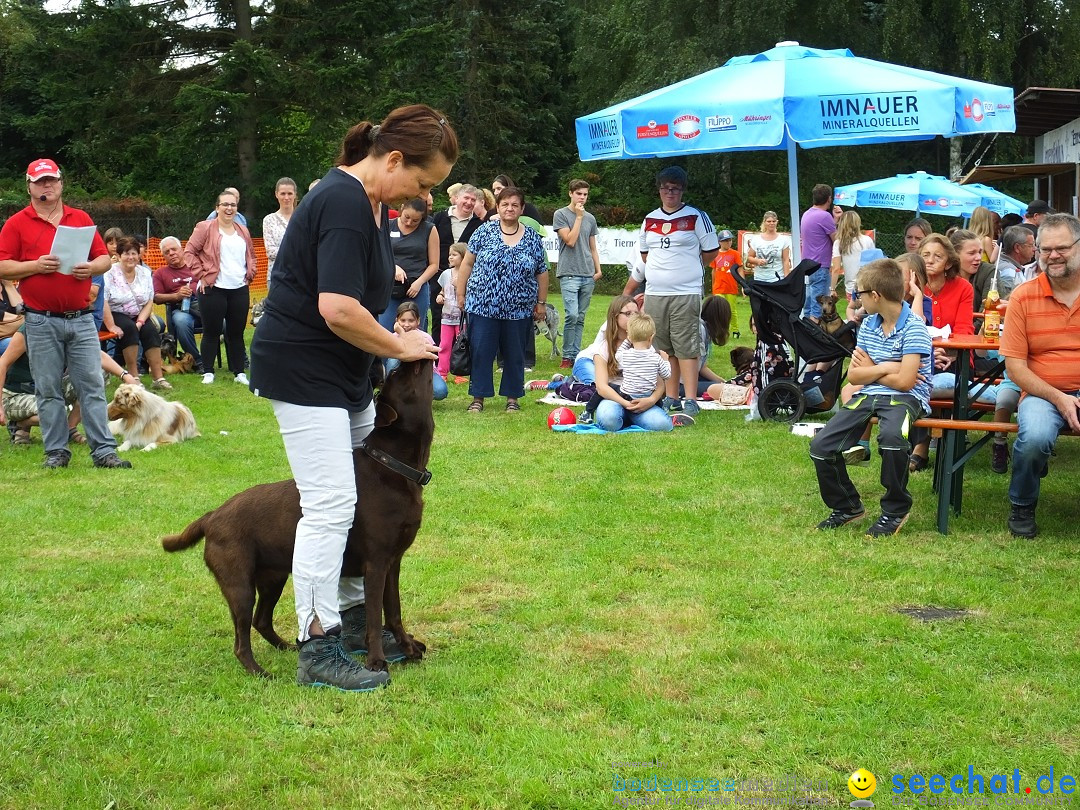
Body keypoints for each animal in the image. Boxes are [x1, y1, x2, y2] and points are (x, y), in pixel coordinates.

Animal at [159, 360, 429, 678]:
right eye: (398, 374)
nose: (405, 361)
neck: (393, 467)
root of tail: (212, 517)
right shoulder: (375, 565)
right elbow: (376, 616)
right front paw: (376, 661)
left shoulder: (393, 562)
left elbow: (394, 611)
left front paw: (408, 648)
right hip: (240, 584)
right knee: (241, 638)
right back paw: (260, 672)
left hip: (273, 576)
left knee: (261, 620)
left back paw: (287, 647)